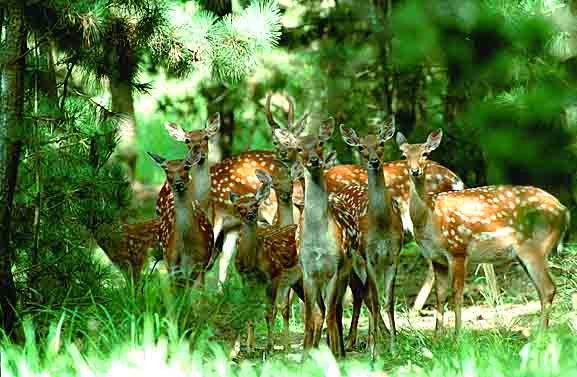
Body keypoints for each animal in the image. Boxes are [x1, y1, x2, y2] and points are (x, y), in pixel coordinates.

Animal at [147, 148, 215, 288]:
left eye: (186, 166)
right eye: (166, 169)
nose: (178, 184)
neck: (186, 248)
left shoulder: (200, 262)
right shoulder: (172, 262)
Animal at [228, 169, 304, 354]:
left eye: (255, 204)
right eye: (239, 207)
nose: (250, 215)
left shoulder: (274, 276)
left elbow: (270, 311)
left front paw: (270, 347)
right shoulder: (246, 278)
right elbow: (249, 307)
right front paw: (249, 347)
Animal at [270, 117, 360, 358]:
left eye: (320, 143)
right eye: (299, 148)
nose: (313, 160)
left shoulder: (335, 267)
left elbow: (329, 313)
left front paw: (335, 355)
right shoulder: (308, 270)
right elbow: (312, 315)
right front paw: (305, 356)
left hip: (347, 270)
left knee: (336, 310)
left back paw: (340, 351)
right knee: (322, 311)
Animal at [336, 119, 402, 356]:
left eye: (381, 143)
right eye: (361, 147)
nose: (374, 161)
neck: (381, 226)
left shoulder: (393, 255)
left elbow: (388, 301)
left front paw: (393, 346)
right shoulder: (369, 257)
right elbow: (374, 300)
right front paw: (375, 350)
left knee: (360, 294)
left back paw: (357, 339)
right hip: (353, 260)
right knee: (361, 294)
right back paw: (353, 341)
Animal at [396, 129, 568, 332]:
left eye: (425, 154)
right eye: (404, 155)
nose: (415, 171)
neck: (429, 217)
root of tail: (564, 211)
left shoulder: (458, 249)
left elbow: (457, 293)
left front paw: (457, 335)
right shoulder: (436, 258)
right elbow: (440, 295)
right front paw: (437, 335)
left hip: (535, 245)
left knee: (548, 287)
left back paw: (540, 334)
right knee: (542, 289)